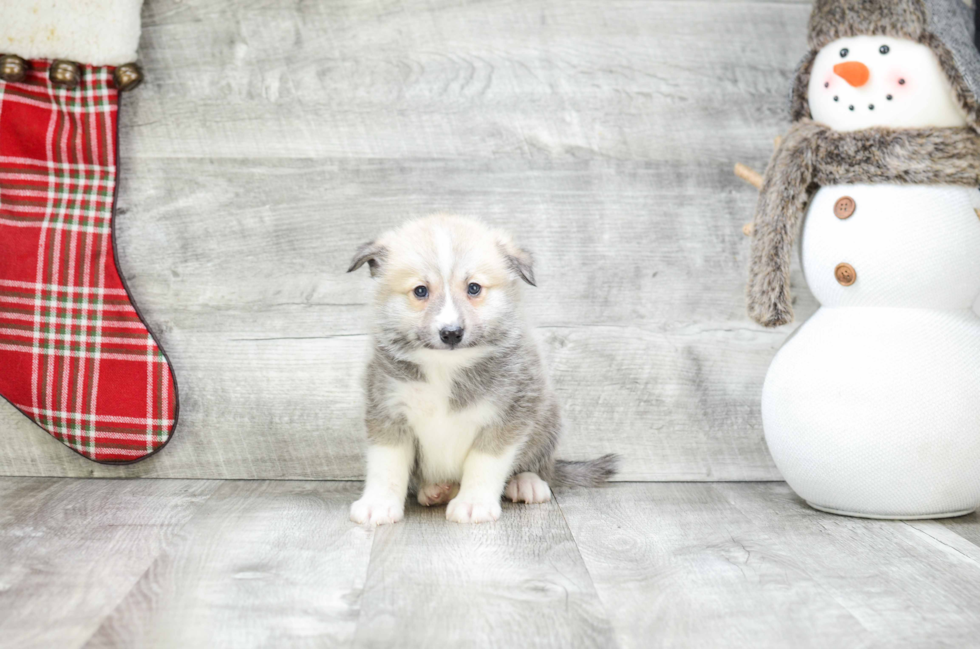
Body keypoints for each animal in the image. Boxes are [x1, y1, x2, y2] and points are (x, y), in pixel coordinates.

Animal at [348, 215, 616, 524]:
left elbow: (484, 464)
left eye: (474, 288)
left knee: (540, 467)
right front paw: (378, 504)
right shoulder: (388, 413)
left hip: (548, 418)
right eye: (420, 291)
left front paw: (473, 503)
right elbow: (386, 466)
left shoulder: (508, 415)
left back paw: (526, 482)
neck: (446, 367)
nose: (451, 333)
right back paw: (435, 490)